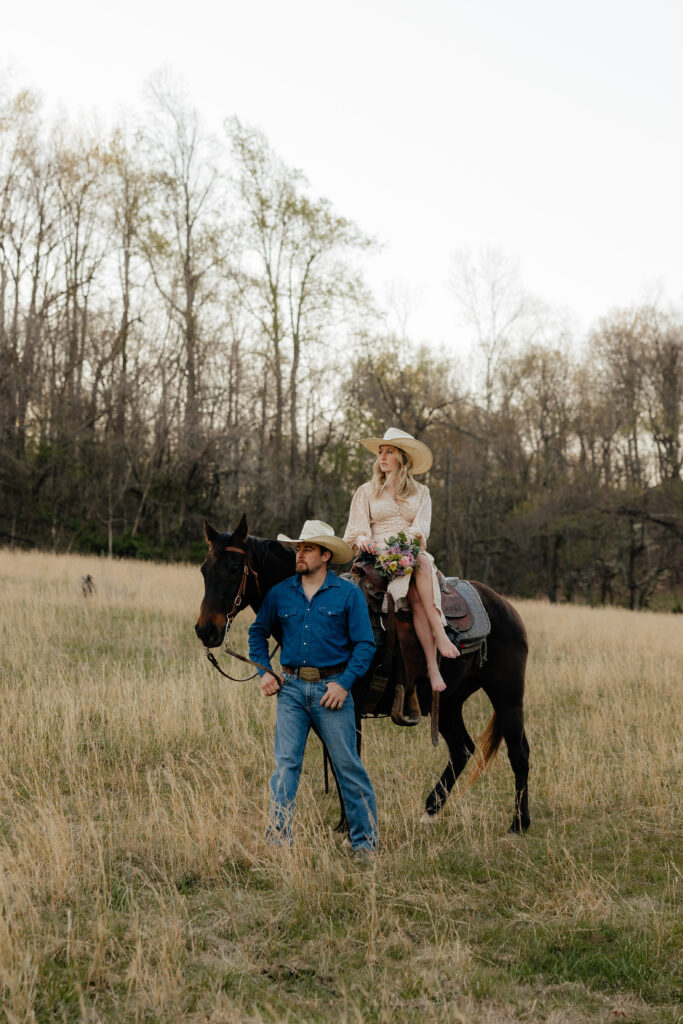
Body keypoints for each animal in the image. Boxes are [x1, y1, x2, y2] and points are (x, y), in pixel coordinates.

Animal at [194, 512, 532, 831]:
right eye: (204, 570)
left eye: (234, 569)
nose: (205, 630)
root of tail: (504, 606)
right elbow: (336, 760)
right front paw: (344, 824)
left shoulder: (347, 707)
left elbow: (347, 761)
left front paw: (350, 825)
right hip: (448, 702)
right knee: (462, 749)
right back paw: (430, 810)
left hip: (507, 696)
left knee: (519, 752)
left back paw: (519, 823)